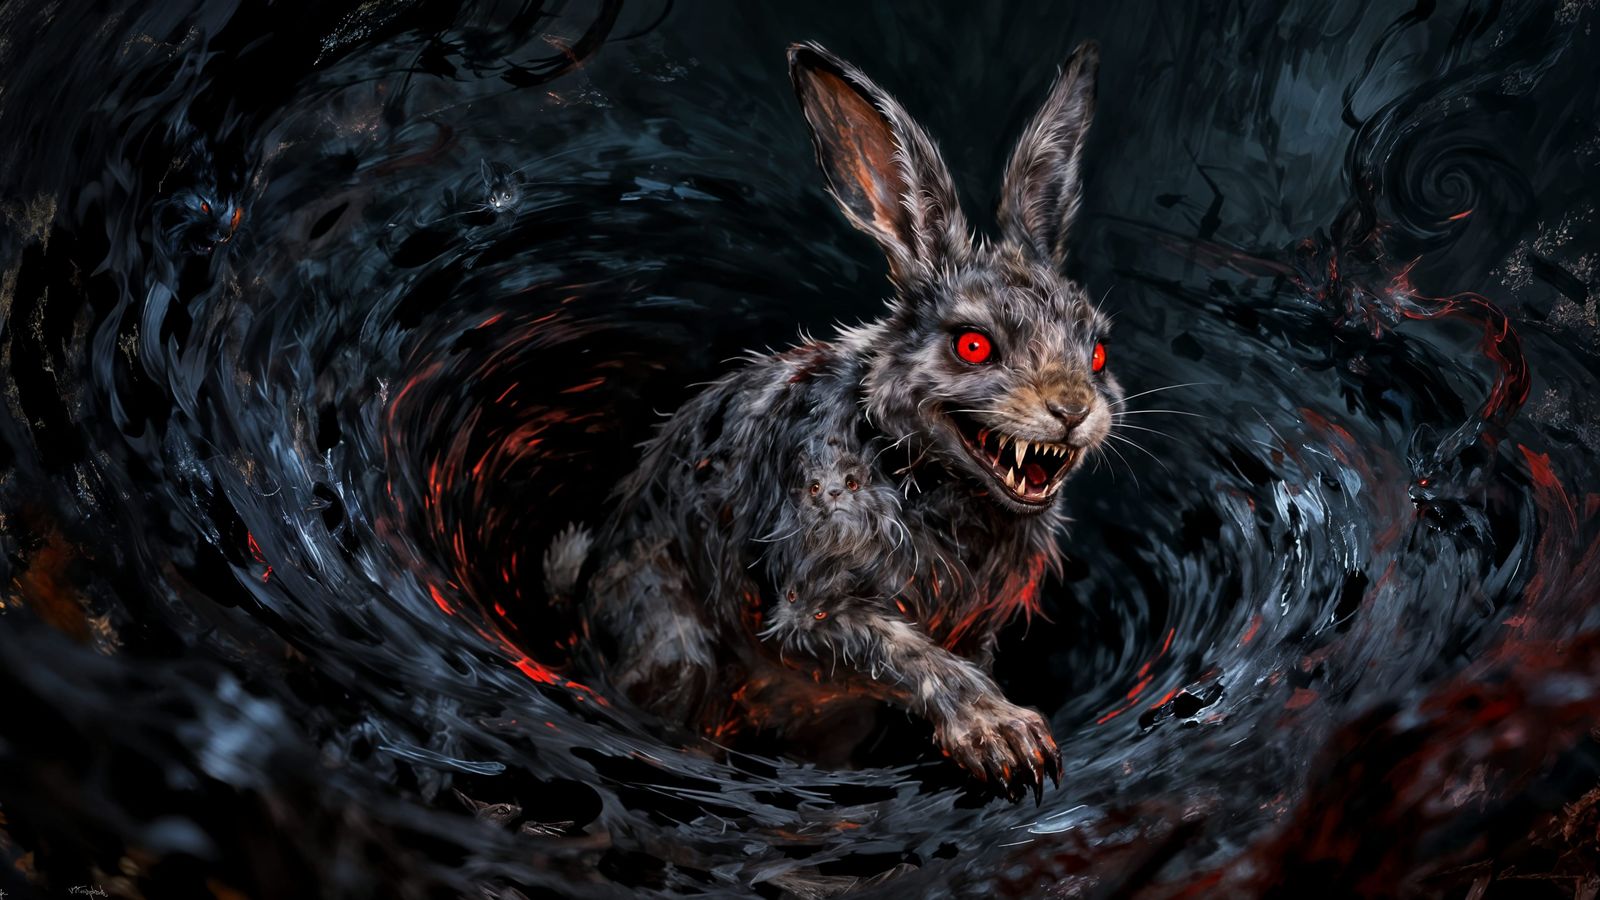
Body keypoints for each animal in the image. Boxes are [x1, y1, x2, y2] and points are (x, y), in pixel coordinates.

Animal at [581, 40, 1119, 803]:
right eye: (973, 346)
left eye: (1097, 349)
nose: (1072, 410)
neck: (920, 469)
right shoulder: (811, 605)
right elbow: (904, 651)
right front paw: (1006, 739)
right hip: (676, 649)